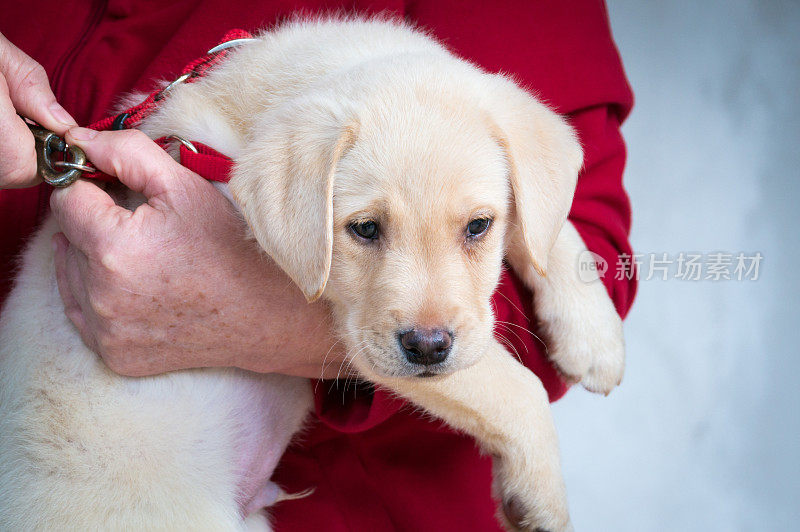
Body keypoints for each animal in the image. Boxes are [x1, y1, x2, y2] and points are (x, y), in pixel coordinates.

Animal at [0, 16, 624, 532]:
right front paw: (542, 498)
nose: (427, 348)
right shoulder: (362, 338)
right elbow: (512, 387)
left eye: (478, 225)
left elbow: (549, 224)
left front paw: (595, 338)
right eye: (364, 229)